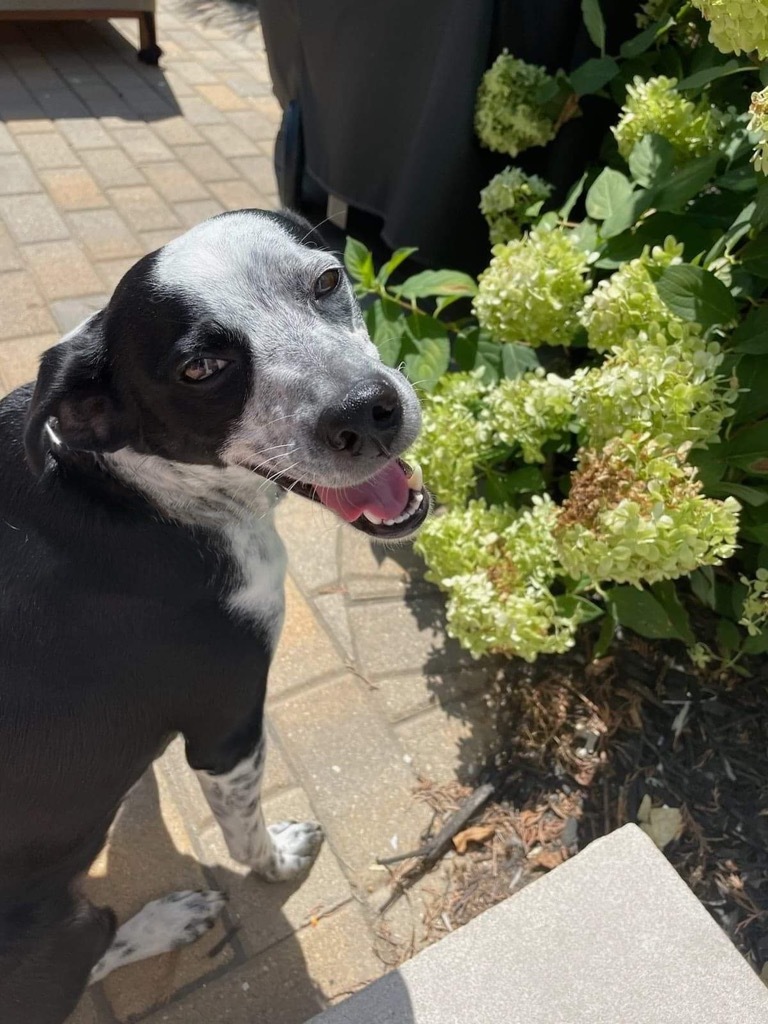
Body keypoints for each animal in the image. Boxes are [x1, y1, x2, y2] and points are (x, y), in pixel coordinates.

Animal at [0, 209, 434, 1024]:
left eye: (326, 280)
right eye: (200, 369)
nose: (367, 412)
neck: (138, 488)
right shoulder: (227, 728)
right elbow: (245, 834)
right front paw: (279, 860)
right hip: (58, 931)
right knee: (92, 949)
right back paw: (169, 920)